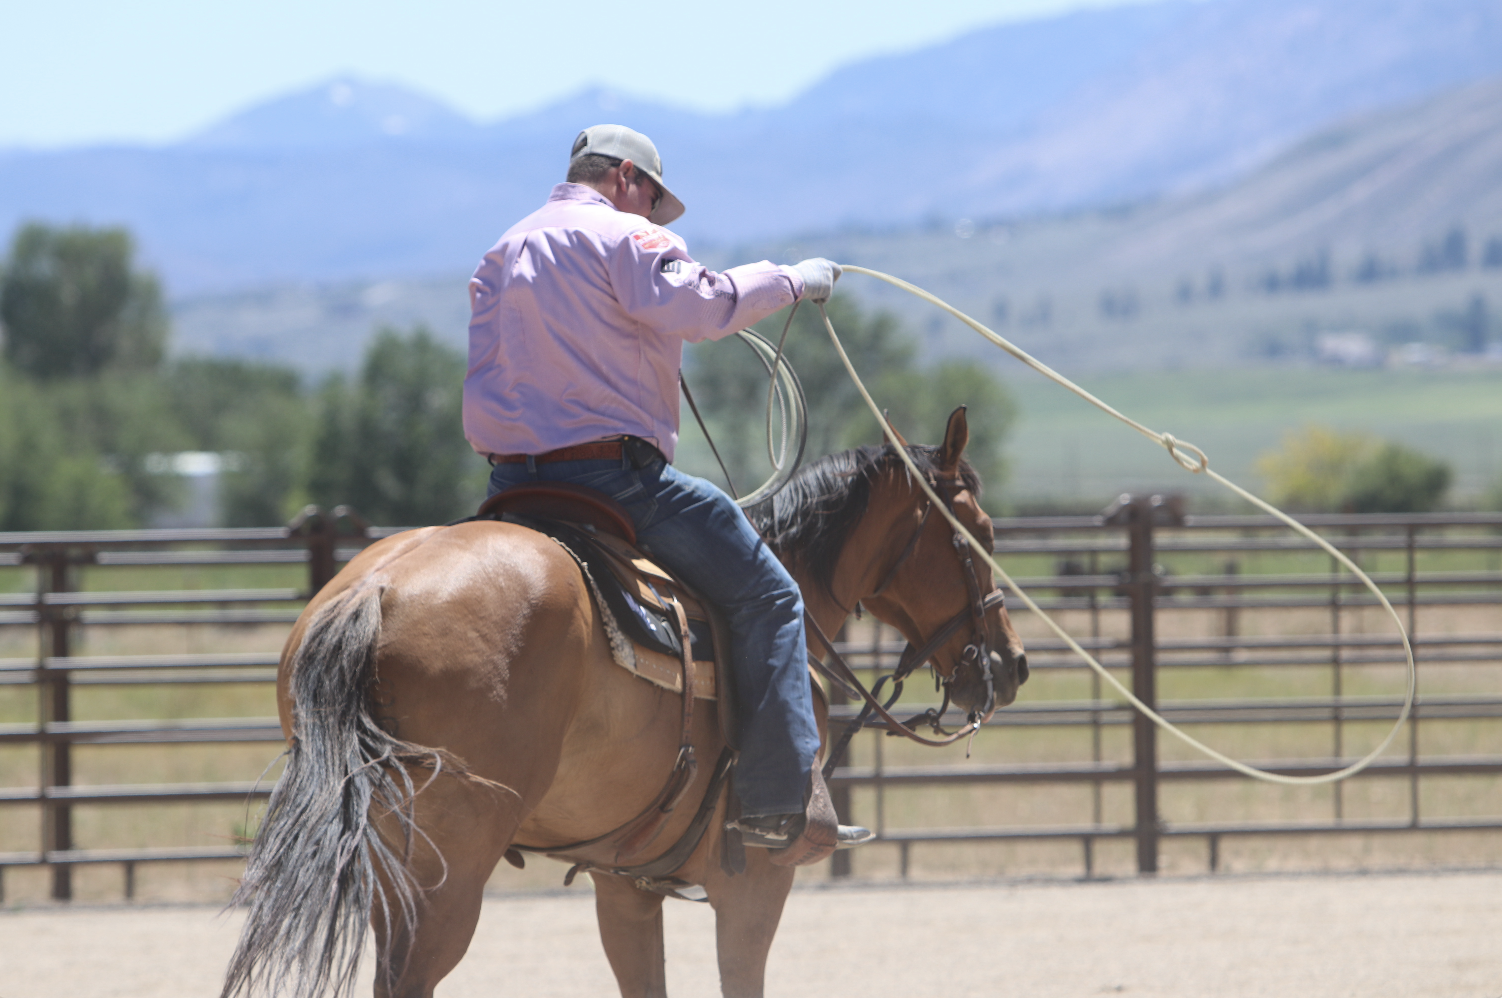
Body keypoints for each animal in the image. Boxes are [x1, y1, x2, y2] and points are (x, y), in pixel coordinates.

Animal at [219, 408, 1021, 998]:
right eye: (980, 535)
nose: (1011, 665)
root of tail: (375, 591)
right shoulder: (758, 880)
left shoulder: (625, 885)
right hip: (448, 873)